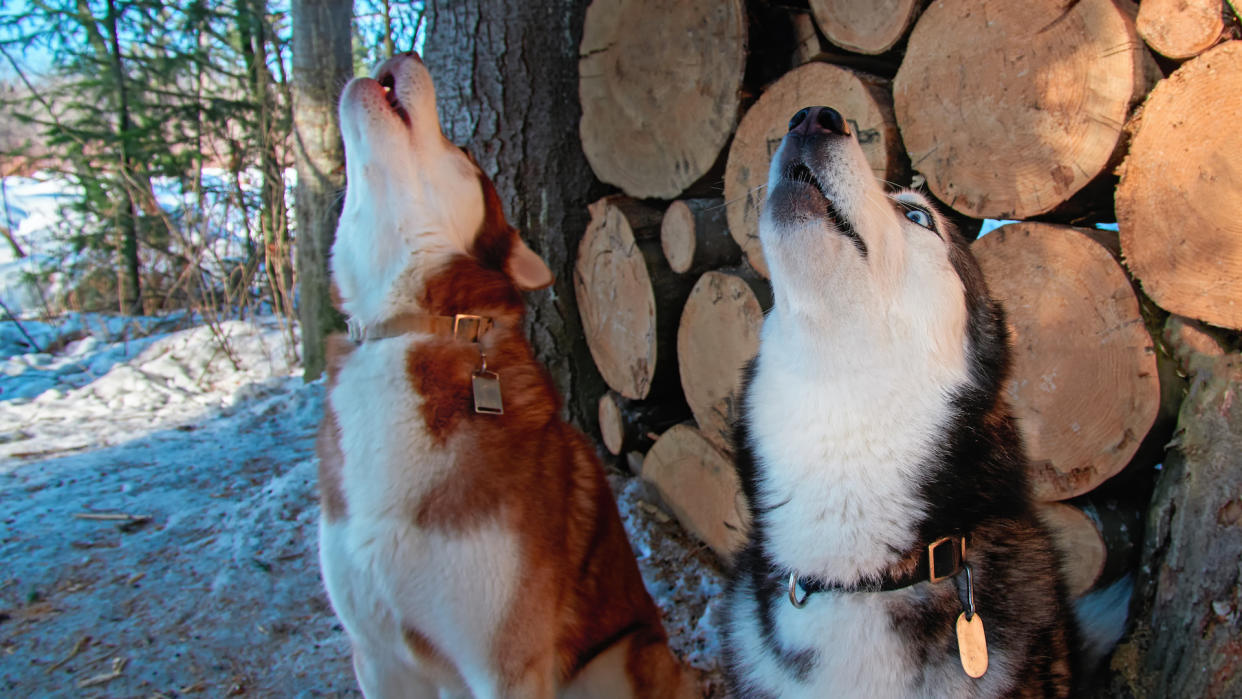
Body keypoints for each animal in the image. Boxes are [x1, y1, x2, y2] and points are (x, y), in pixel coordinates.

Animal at [317, 51, 690, 695]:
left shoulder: (505, 664)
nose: (403, 54)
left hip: (618, 660)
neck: (408, 326)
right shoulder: (376, 656)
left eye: (461, 152)